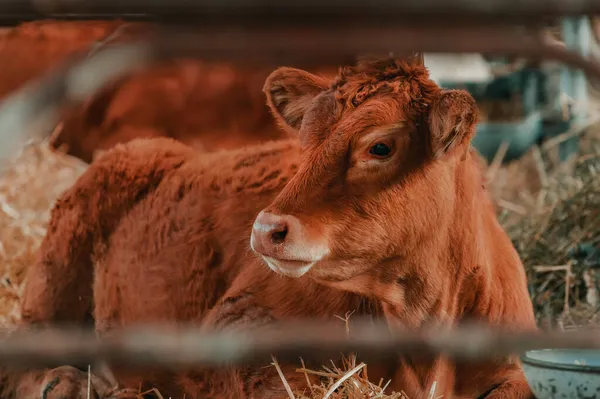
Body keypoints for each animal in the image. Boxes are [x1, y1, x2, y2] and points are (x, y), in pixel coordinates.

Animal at [3, 54, 536, 399]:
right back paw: (67, 384)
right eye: (304, 139)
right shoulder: (240, 325)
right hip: (56, 275)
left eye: (380, 146)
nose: (265, 230)